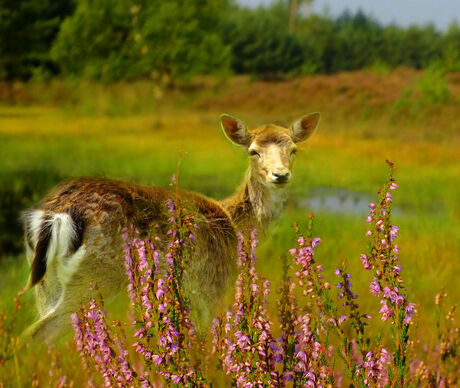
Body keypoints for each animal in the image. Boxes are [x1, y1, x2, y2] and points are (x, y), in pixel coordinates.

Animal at [21, 112, 320, 340]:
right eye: (253, 151)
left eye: (293, 149)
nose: (280, 175)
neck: (234, 225)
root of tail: (54, 214)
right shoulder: (212, 288)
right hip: (94, 276)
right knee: (36, 335)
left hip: (46, 283)